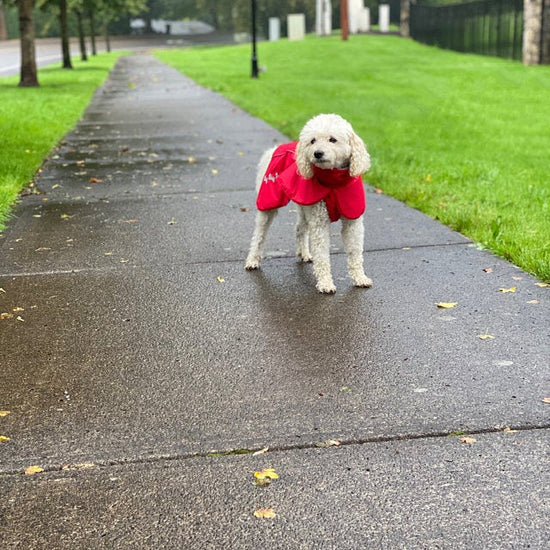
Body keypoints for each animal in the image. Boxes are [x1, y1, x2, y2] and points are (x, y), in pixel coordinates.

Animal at [247, 114, 374, 296]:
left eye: (332, 139)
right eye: (312, 140)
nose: (318, 153)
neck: (333, 182)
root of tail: (273, 149)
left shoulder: (352, 220)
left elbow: (355, 251)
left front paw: (360, 278)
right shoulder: (319, 223)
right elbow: (322, 255)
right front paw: (326, 283)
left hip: (304, 206)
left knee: (300, 228)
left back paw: (304, 253)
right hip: (268, 202)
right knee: (259, 234)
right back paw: (252, 259)